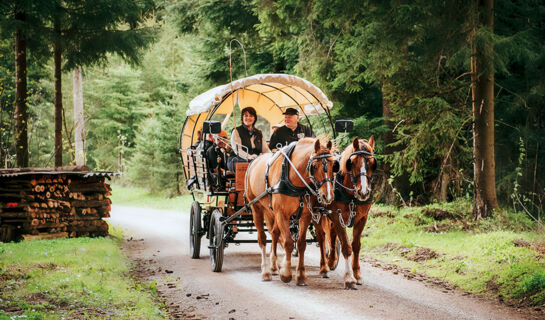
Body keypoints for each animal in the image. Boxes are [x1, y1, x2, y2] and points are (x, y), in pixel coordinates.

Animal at [243, 138, 336, 284]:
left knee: (274, 233)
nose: (328, 196)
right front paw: (286, 273)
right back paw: (266, 271)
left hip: (271, 211)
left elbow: (301, 243)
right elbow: (288, 242)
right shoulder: (282, 214)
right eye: (314, 166)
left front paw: (301, 275)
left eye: (333, 165)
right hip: (256, 208)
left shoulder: (305, 215)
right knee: (262, 238)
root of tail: (254, 161)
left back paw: (273, 266)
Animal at [320, 136, 376, 286]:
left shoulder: (362, 218)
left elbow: (356, 245)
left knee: (332, 235)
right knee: (322, 238)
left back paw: (331, 260)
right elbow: (346, 246)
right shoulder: (337, 216)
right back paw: (324, 267)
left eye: (372, 163)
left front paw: (357, 274)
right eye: (352, 162)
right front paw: (349, 277)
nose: (363, 192)